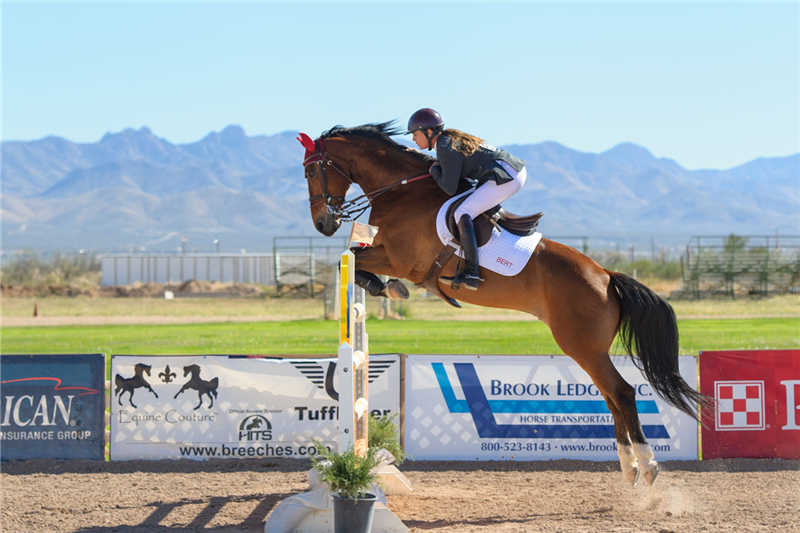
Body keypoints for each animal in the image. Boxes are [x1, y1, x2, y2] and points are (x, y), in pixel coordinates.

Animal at [298, 120, 708, 486]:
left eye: (311, 170)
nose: (322, 224)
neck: (399, 192)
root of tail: (606, 276)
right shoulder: (387, 253)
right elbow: (353, 258)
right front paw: (384, 287)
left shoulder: (400, 258)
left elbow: (351, 258)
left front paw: (387, 287)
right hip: (589, 348)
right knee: (611, 396)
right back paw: (629, 468)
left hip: (581, 345)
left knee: (621, 392)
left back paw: (648, 466)